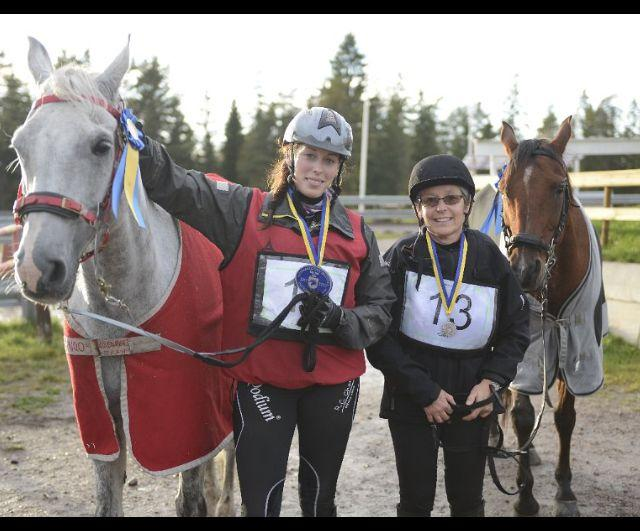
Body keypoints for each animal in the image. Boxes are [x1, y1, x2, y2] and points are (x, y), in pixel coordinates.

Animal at [498, 115, 604, 516]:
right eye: (504, 189)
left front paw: (565, 490)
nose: (524, 270)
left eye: (559, 188)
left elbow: (565, 417)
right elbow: (522, 415)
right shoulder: (528, 346)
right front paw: (526, 497)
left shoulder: (576, 343)